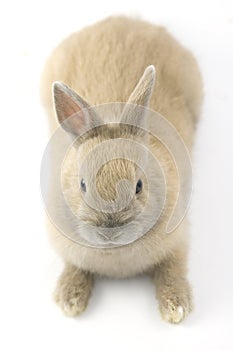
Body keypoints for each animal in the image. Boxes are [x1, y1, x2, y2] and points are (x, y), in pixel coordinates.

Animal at [41, 15, 203, 322]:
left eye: (139, 186)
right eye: (82, 185)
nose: (110, 232)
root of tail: (125, 19)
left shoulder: (178, 241)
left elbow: (172, 268)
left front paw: (176, 308)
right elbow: (74, 266)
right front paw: (70, 301)